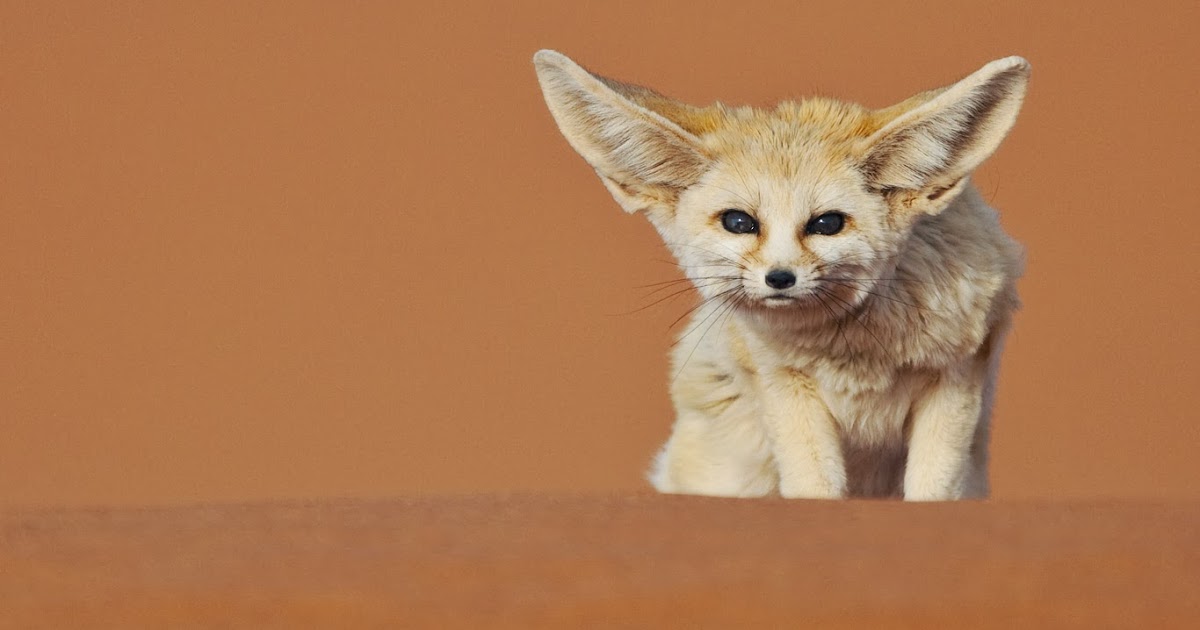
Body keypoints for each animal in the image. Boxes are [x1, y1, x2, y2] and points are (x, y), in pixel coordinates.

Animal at [533, 50, 1029, 500]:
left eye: (827, 224)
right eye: (738, 222)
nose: (780, 278)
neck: (858, 350)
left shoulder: (958, 376)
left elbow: (932, 490)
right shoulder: (784, 384)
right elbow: (813, 487)